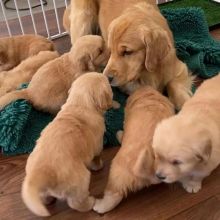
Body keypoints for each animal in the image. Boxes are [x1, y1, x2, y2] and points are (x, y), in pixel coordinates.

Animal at [21, 72, 115, 217]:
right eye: (107, 84)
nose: (108, 77)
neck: (79, 104)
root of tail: (40, 173)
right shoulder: (98, 144)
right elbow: (97, 156)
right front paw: (98, 166)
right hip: (80, 181)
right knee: (76, 203)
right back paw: (90, 202)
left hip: (43, 190)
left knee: (45, 197)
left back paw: (49, 201)